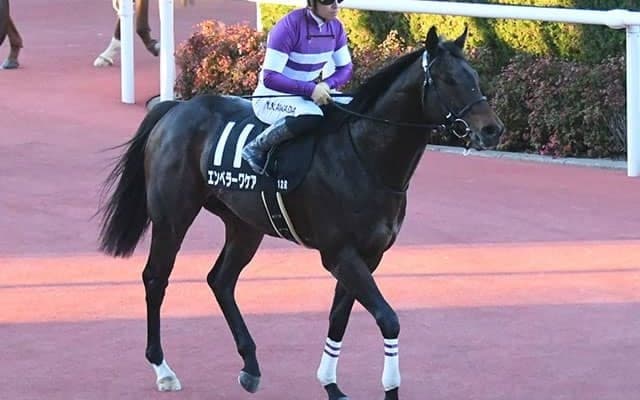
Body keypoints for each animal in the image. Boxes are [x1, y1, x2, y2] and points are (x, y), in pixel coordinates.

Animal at [98, 26, 504, 400]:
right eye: (448, 79)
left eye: (474, 76)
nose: (492, 129)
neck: (364, 156)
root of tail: (176, 108)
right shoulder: (339, 253)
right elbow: (388, 319)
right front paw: (387, 388)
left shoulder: (368, 256)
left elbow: (339, 317)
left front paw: (331, 385)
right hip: (173, 216)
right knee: (156, 278)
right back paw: (163, 369)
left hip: (244, 225)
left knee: (221, 280)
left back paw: (251, 366)